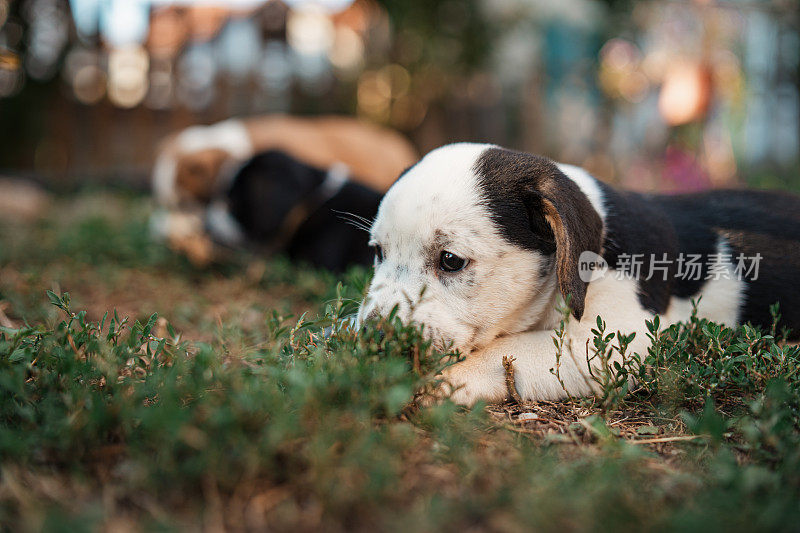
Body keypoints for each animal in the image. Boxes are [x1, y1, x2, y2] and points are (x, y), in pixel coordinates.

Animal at [360, 141, 800, 404]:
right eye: (378, 252)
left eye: (450, 260)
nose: (371, 338)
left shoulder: (620, 338)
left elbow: (506, 351)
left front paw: (436, 381)